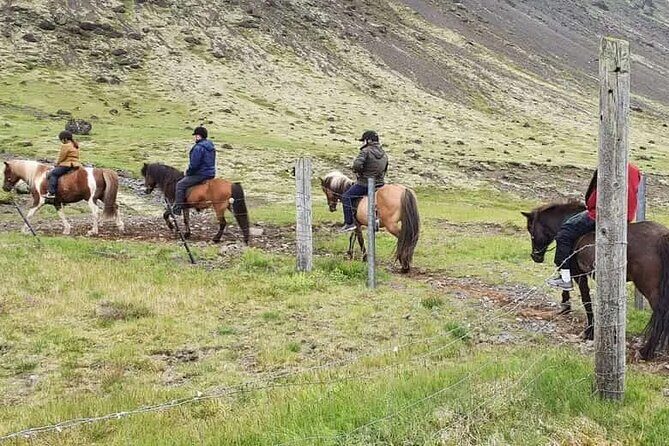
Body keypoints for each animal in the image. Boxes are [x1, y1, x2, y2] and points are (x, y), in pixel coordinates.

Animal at [522, 201, 669, 359]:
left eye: (530, 229)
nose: (535, 257)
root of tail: (662, 237)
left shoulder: (578, 273)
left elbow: (585, 298)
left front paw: (589, 331)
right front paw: (565, 306)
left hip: (648, 287)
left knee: (661, 312)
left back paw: (646, 351)